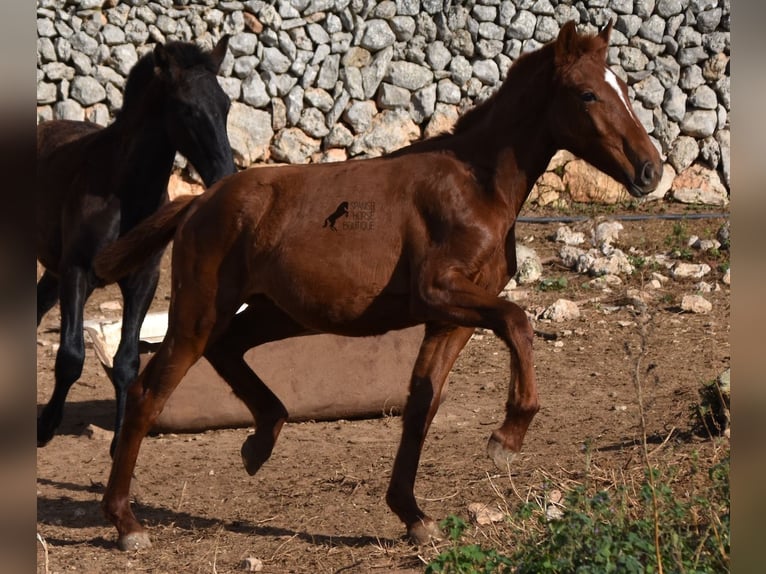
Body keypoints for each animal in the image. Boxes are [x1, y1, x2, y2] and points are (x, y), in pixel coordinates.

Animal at [36, 37, 238, 460]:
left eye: (226, 104)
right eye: (187, 108)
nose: (224, 175)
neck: (123, 190)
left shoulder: (143, 278)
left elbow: (127, 362)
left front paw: (119, 442)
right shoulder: (78, 271)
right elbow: (70, 356)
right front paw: (44, 427)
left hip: (54, 269)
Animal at [94, 23, 660, 552]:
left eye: (624, 87)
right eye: (587, 94)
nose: (650, 170)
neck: (474, 186)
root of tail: (199, 201)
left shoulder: (448, 318)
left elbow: (422, 403)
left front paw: (414, 515)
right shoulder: (441, 292)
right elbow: (518, 322)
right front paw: (508, 436)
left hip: (275, 312)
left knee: (230, 349)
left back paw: (261, 441)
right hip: (201, 313)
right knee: (147, 393)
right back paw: (126, 523)